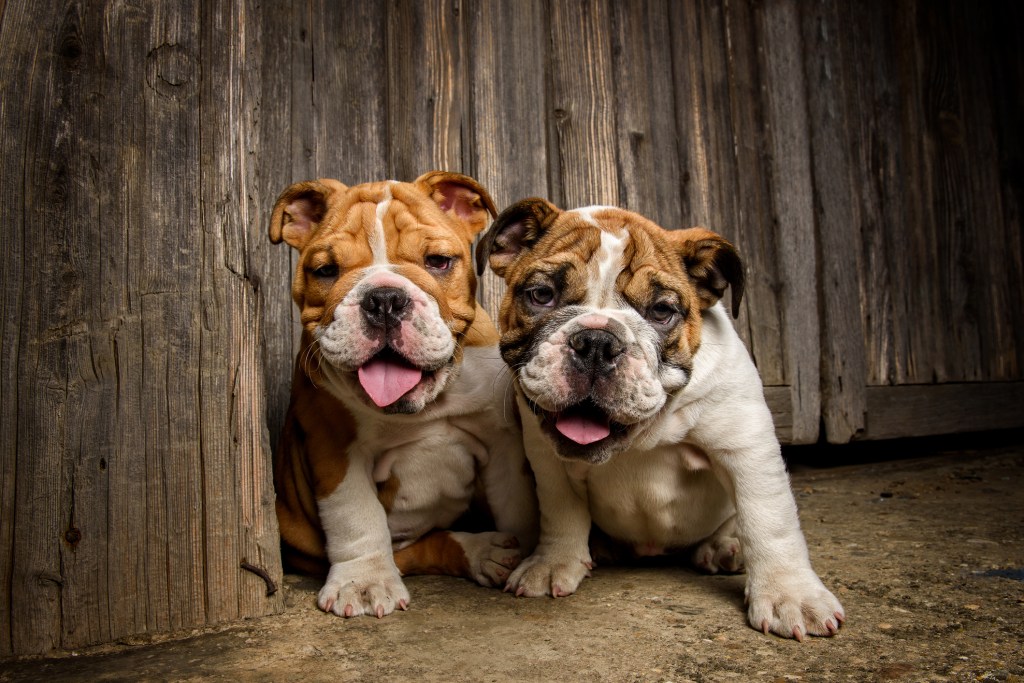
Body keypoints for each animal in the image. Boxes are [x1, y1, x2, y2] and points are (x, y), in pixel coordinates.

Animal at [272, 172, 540, 618]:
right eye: (325, 270)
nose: (384, 299)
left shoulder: (502, 442)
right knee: (411, 550)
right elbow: (356, 517)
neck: (425, 407)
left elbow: (516, 505)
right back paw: (482, 552)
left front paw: (533, 553)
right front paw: (363, 582)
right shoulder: (334, 449)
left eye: (438, 262)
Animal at [475, 197, 843, 643]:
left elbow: (769, 520)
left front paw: (790, 595)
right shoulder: (549, 459)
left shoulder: (745, 447)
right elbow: (561, 511)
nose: (596, 342)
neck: (641, 436)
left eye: (661, 311)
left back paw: (725, 547)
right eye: (542, 295)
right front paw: (553, 563)